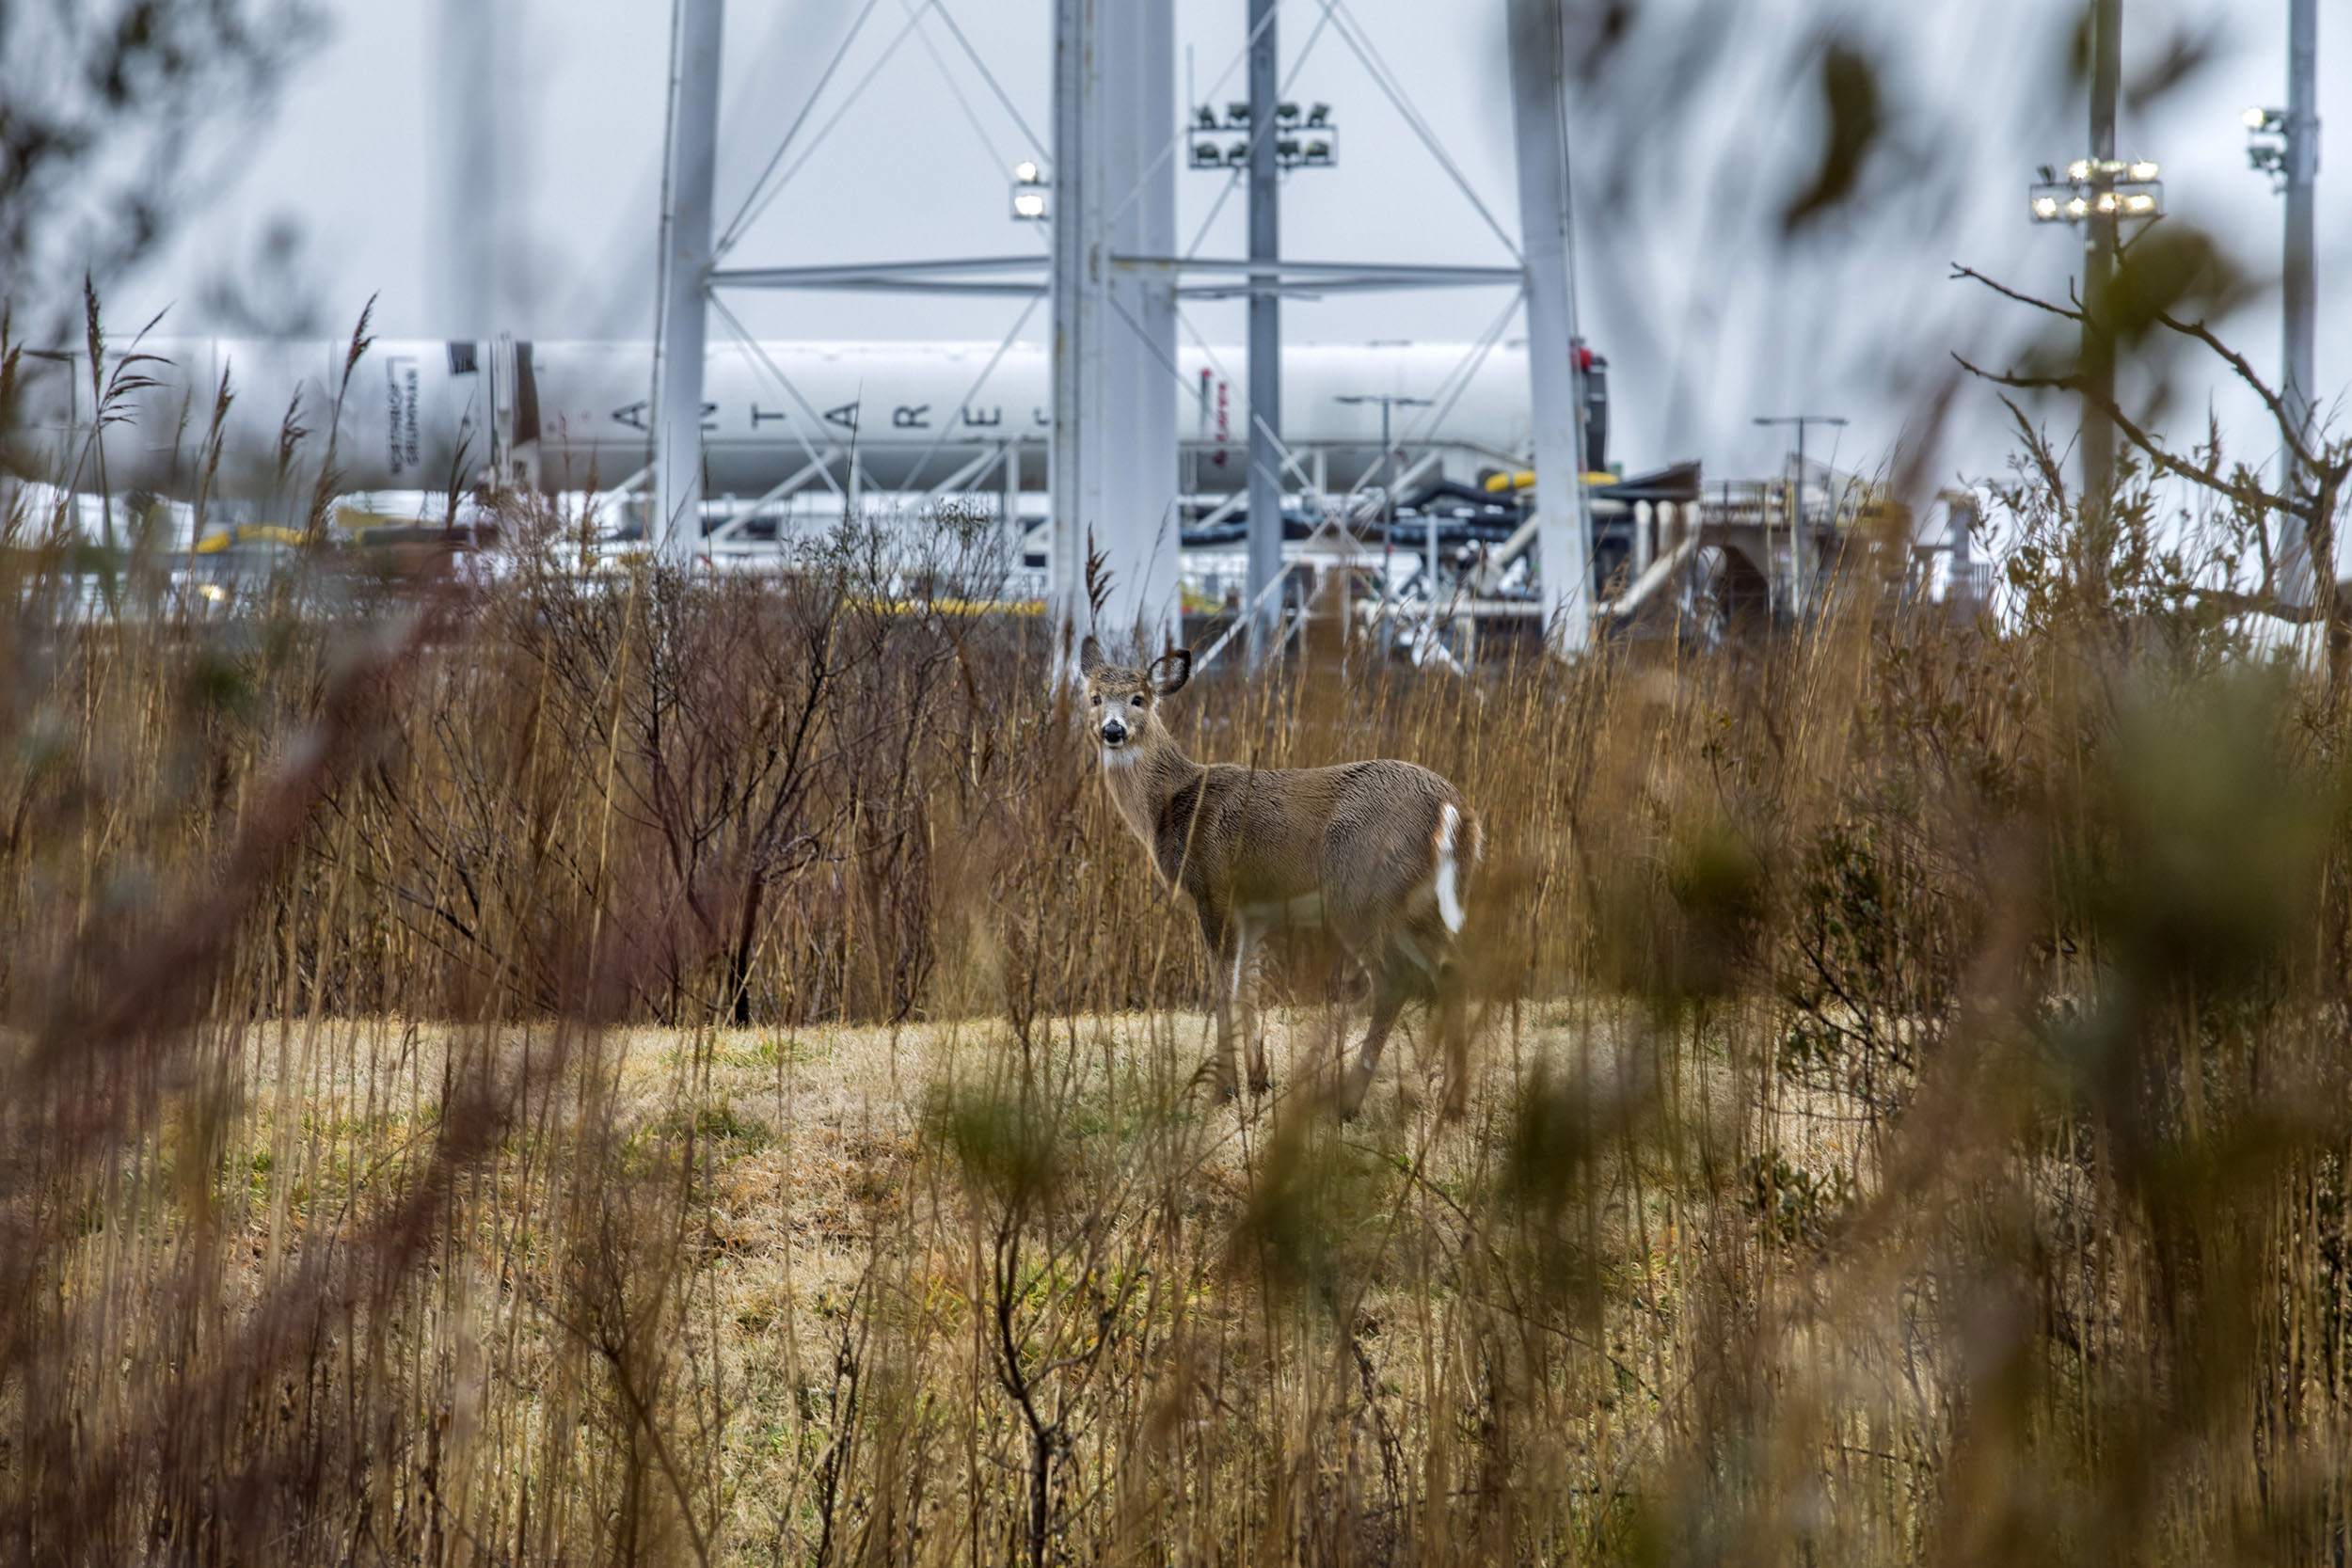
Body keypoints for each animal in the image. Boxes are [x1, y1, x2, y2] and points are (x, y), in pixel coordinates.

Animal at [1078, 635, 1480, 1117]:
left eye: (1139, 698)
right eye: (1095, 697)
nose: (1112, 730)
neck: (1171, 806)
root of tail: (1453, 812)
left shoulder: (1214, 888)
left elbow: (1223, 989)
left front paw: (1224, 1089)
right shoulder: (1254, 911)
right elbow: (1250, 990)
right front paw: (1258, 1081)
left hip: (1359, 889)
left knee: (1394, 978)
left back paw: (1349, 1101)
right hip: (1417, 904)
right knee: (1452, 968)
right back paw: (1454, 1103)